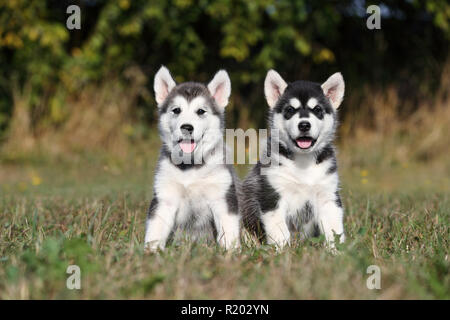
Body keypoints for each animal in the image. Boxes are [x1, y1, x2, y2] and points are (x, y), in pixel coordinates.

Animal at [146, 66, 241, 251]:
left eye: (201, 111)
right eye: (176, 110)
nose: (187, 127)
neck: (190, 168)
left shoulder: (222, 197)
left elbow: (228, 229)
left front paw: (230, 252)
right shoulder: (165, 196)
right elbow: (155, 228)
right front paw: (150, 252)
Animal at [243, 70, 344, 249]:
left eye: (317, 109)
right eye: (290, 109)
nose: (304, 125)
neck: (303, 163)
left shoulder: (328, 197)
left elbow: (334, 230)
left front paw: (338, 252)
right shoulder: (272, 196)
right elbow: (280, 232)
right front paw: (282, 252)